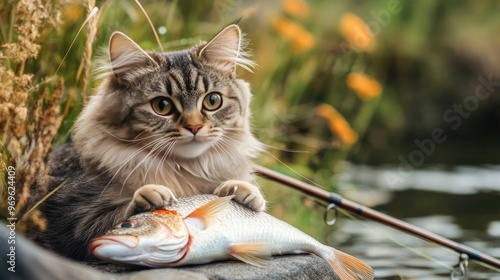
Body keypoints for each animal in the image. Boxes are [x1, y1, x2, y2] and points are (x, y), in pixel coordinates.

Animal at [31, 24, 266, 260]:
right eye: (162, 106)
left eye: (212, 100)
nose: (194, 127)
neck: (184, 170)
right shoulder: (68, 216)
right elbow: (112, 216)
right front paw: (149, 196)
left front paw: (243, 191)